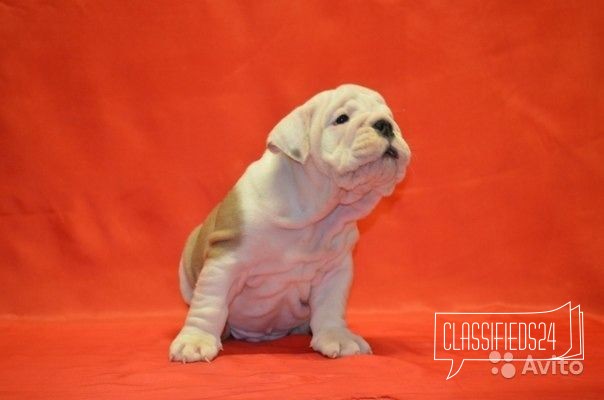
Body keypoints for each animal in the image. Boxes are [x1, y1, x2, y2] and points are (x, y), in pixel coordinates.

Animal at [172, 84, 412, 362]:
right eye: (341, 119)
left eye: (389, 116)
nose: (385, 125)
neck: (317, 211)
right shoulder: (225, 260)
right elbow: (209, 304)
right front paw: (195, 340)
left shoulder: (335, 271)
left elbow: (330, 307)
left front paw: (337, 337)